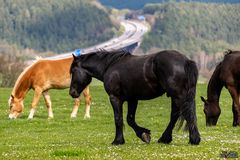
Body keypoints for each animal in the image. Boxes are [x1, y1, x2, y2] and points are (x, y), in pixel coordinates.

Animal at [69, 49, 201, 145]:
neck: (109, 66)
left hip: (177, 96)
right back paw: (166, 139)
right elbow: (130, 119)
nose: (72, 93)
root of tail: (186, 61)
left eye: (73, 71)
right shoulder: (132, 99)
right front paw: (144, 135)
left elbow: (118, 119)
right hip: (176, 96)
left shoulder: (115, 98)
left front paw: (118, 141)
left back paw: (192, 139)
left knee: (185, 114)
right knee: (176, 115)